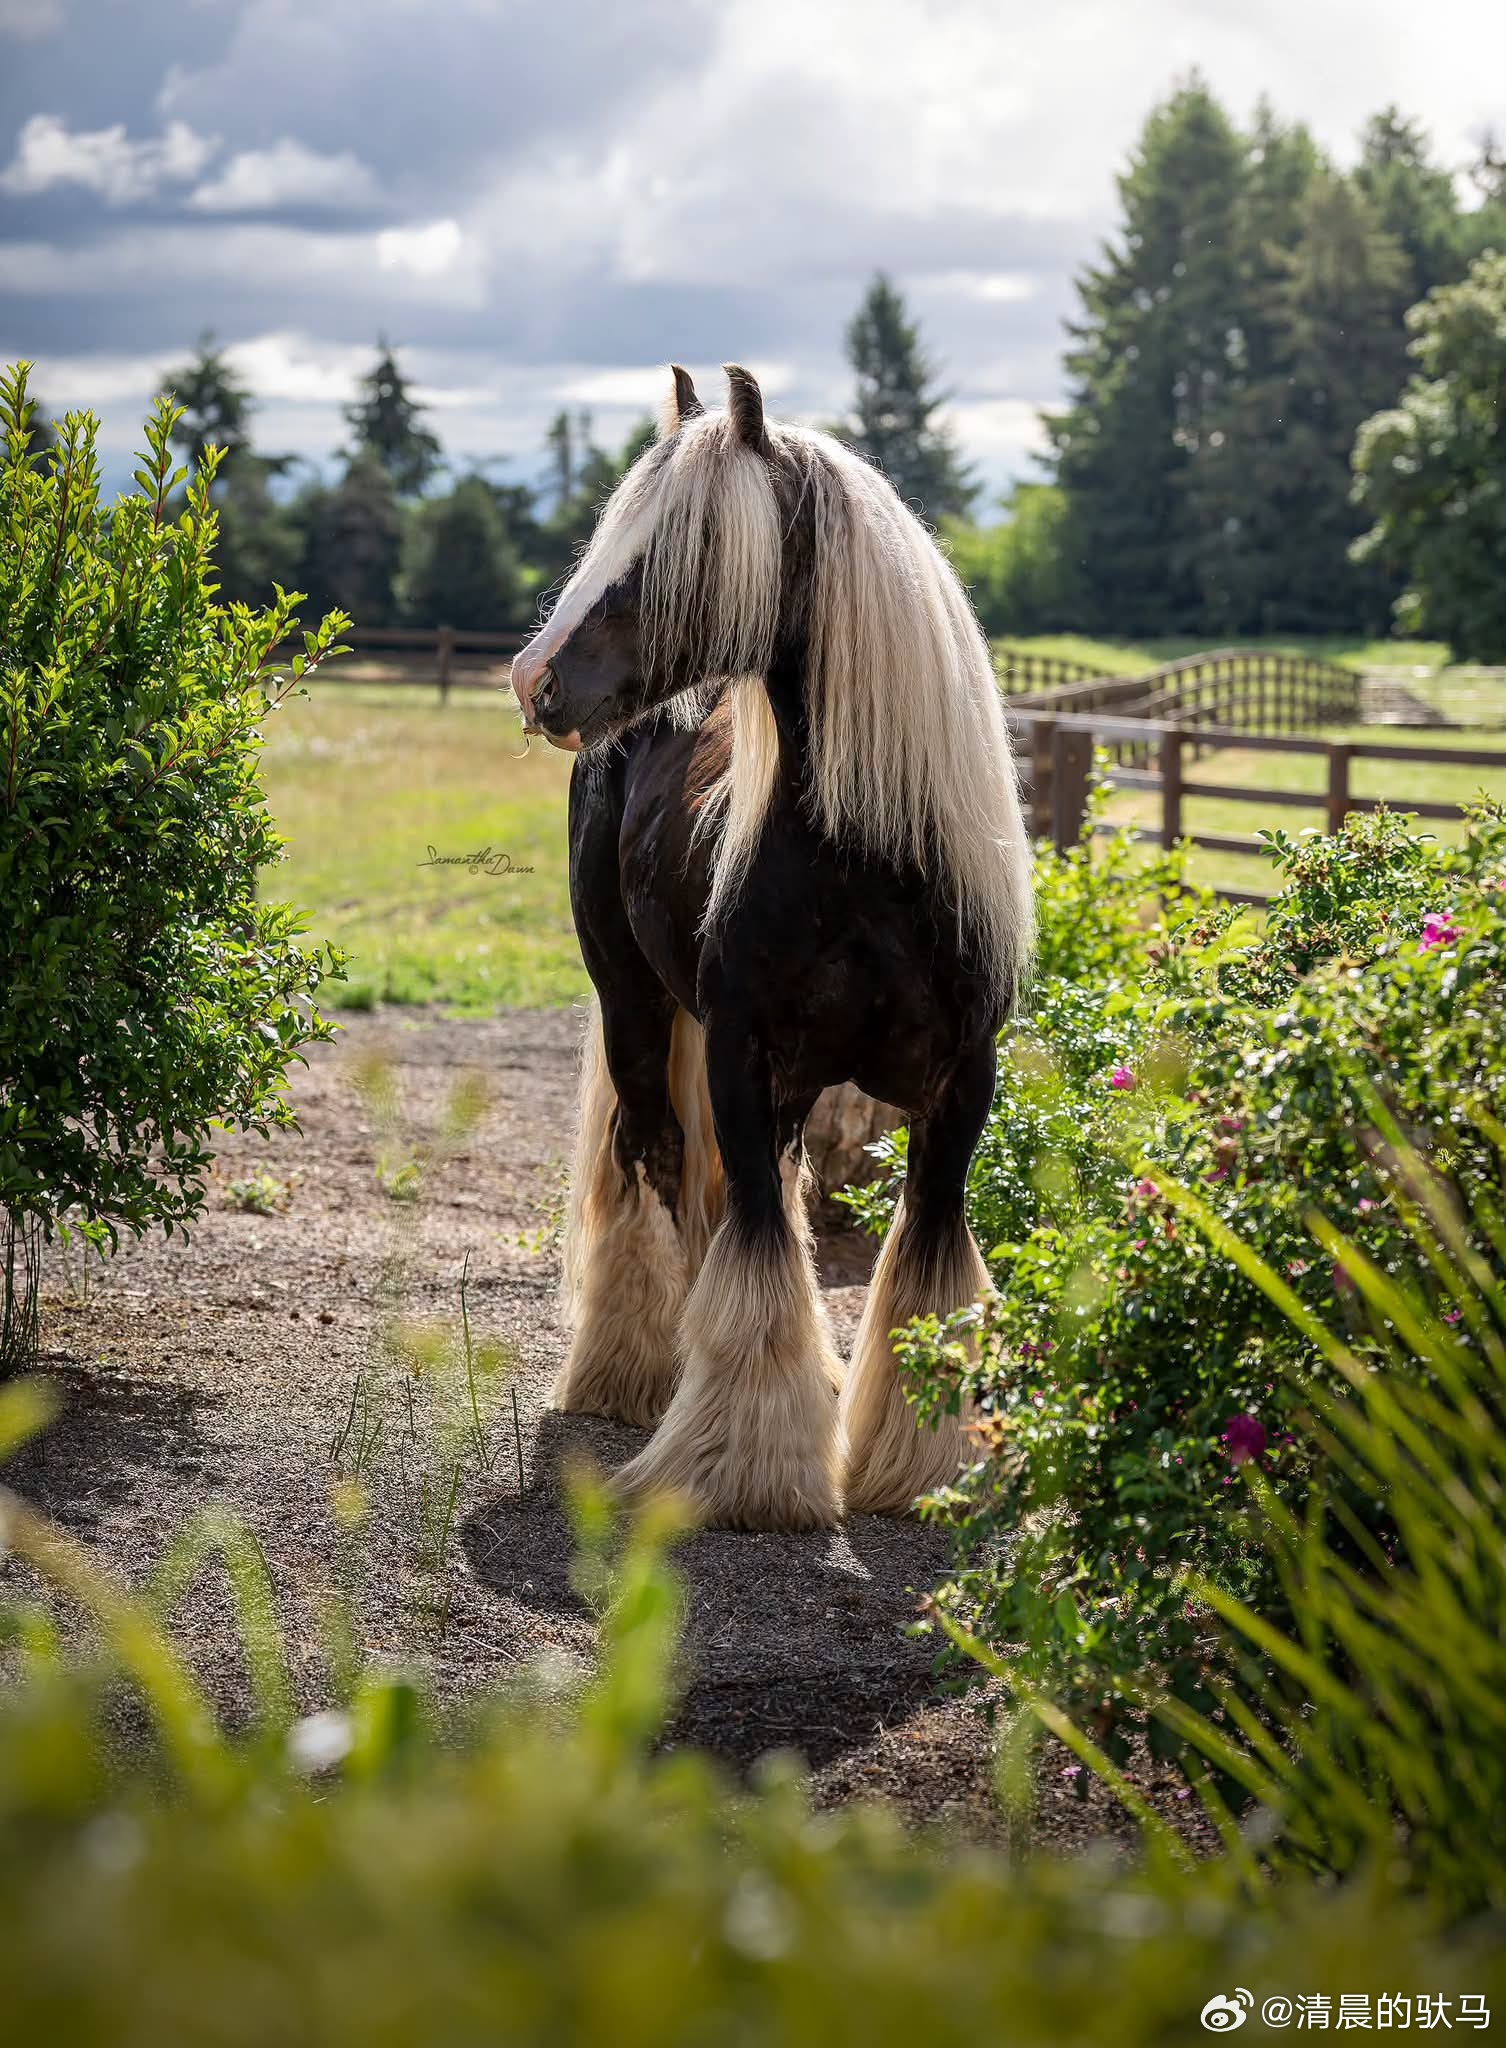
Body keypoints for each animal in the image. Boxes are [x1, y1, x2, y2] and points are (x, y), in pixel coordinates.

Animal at [510, 364, 1033, 1532]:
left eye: (676, 546)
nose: (533, 680)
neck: (873, 874)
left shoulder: (956, 1093)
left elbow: (925, 1267)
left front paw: (919, 1466)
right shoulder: (744, 1064)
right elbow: (752, 1250)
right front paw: (744, 1469)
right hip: (636, 1008)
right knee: (658, 1170)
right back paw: (637, 1378)